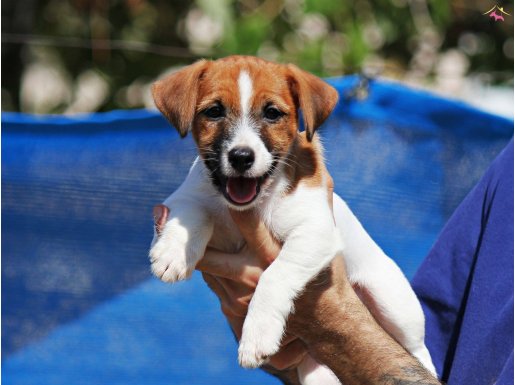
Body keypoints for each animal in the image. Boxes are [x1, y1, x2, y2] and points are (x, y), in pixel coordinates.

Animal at [148, 55, 436, 382]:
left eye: (272, 113)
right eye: (214, 111)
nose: (241, 157)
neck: (257, 203)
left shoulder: (316, 231)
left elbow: (276, 273)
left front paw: (258, 334)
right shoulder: (187, 198)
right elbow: (191, 214)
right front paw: (172, 253)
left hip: (392, 300)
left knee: (417, 347)